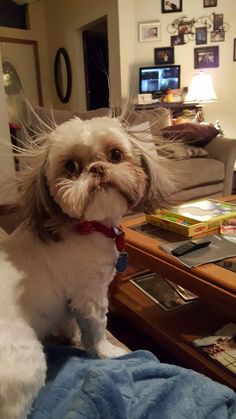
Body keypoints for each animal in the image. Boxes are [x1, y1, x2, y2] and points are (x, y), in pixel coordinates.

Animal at [0, 113, 175, 418]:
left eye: (115, 155)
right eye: (70, 167)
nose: (97, 169)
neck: (87, 226)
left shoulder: (71, 299)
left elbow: (70, 321)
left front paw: (72, 338)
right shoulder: (90, 293)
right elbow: (95, 328)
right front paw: (106, 352)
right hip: (27, 361)